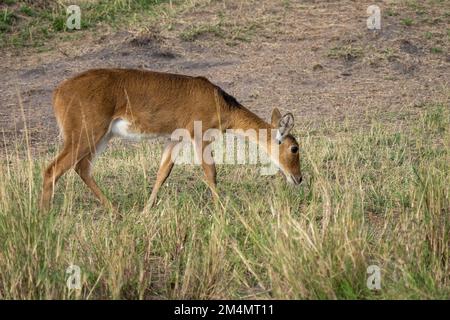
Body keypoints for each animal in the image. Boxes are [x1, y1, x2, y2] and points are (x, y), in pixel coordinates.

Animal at [40, 69, 302, 211]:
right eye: (294, 148)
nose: (298, 179)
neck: (220, 103)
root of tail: (58, 92)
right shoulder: (200, 136)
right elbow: (211, 172)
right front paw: (223, 210)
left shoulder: (175, 139)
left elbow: (163, 172)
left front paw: (145, 211)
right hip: (85, 135)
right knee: (53, 169)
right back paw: (45, 217)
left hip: (101, 137)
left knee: (81, 168)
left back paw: (116, 212)